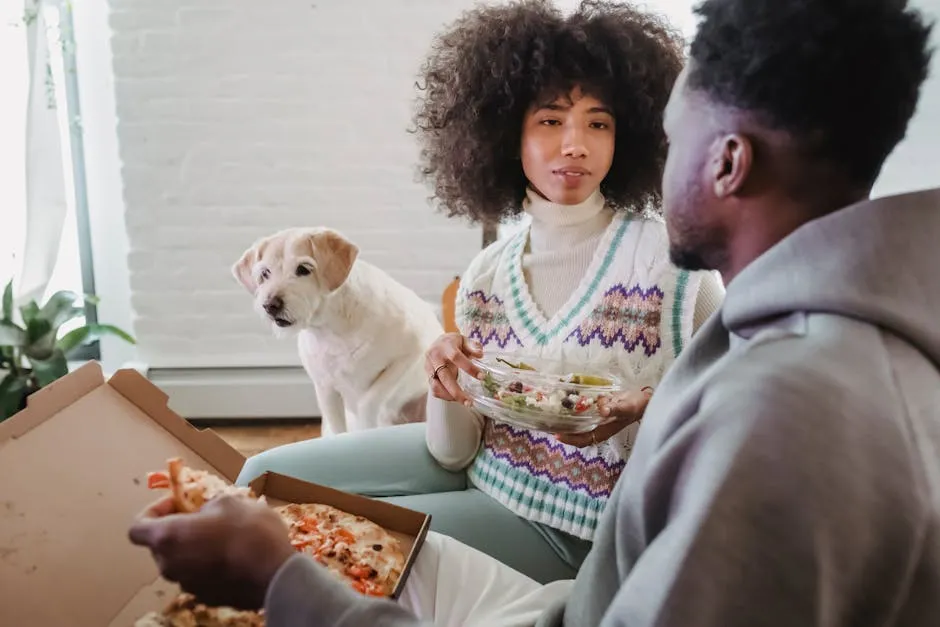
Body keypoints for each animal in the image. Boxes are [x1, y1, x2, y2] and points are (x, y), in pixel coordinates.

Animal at [233, 226, 442, 436]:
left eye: (303, 269)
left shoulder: (412, 353)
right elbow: (337, 427)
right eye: (265, 273)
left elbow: (369, 400)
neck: (333, 328)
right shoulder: (326, 389)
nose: (270, 305)